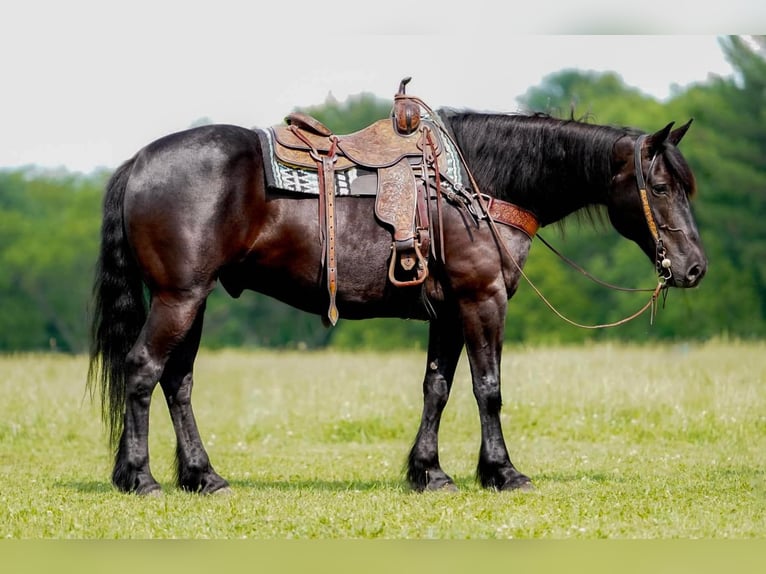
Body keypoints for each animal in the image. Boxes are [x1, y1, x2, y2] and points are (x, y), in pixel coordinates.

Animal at [88, 96, 707, 495]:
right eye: (659, 186)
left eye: (685, 186)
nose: (693, 268)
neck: (478, 184)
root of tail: (138, 162)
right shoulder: (483, 300)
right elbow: (488, 389)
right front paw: (502, 472)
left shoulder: (450, 312)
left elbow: (437, 388)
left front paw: (429, 472)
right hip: (179, 297)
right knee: (143, 369)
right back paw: (140, 477)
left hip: (192, 299)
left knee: (177, 381)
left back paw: (202, 476)